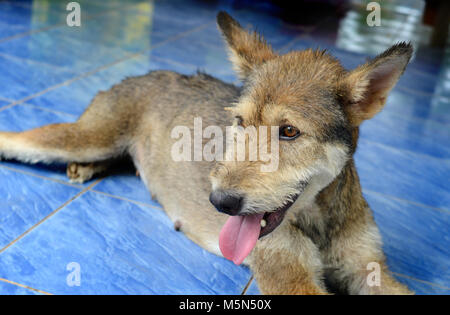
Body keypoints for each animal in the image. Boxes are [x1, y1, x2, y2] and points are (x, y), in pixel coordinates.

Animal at [0, 11, 414, 296]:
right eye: (240, 123)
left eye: (289, 132)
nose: (219, 202)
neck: (318, 220)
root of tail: (145, 73)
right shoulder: (290, 278)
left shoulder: (369, 268)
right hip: (84, 135)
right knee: (19, 138)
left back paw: (87, 168)